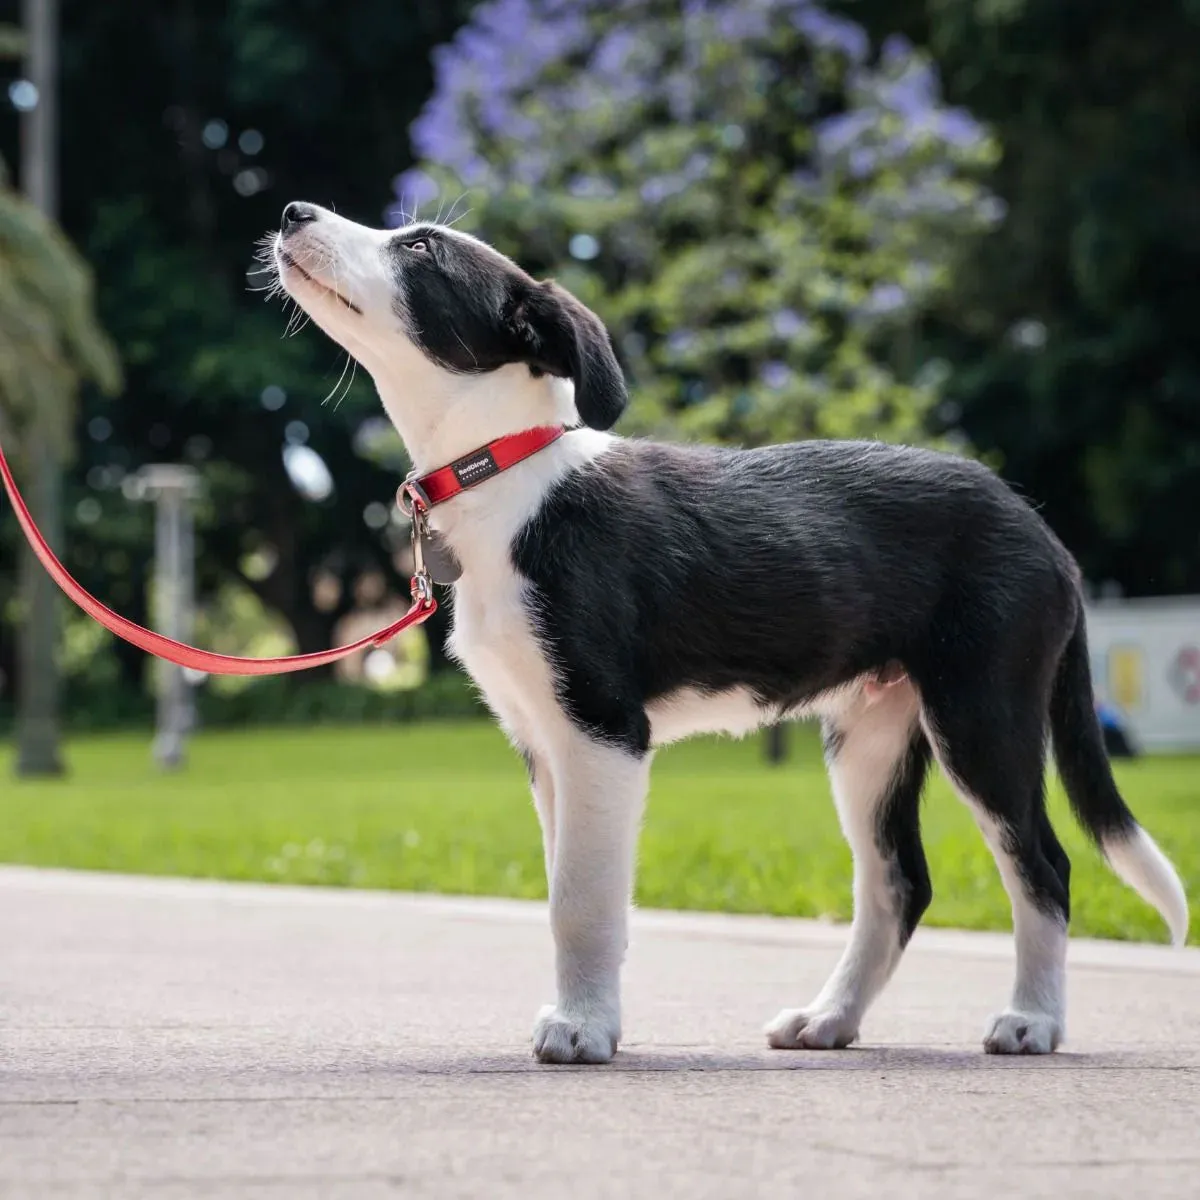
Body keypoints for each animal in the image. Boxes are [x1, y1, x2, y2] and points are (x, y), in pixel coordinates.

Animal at [274, 201, 1190, 1065]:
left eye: (420, 247)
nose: (290, 214)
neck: (508, 476)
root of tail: (1046, 538)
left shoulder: (601, 729)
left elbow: (582, 898)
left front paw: (583, 1029)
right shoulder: (542, 740)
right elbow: (565, 886)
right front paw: (585, 1014)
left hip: (983, 710)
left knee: (1042, 865)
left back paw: (1033, 1021)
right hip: (871, 733)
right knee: (898, 883)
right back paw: (829, 1019)